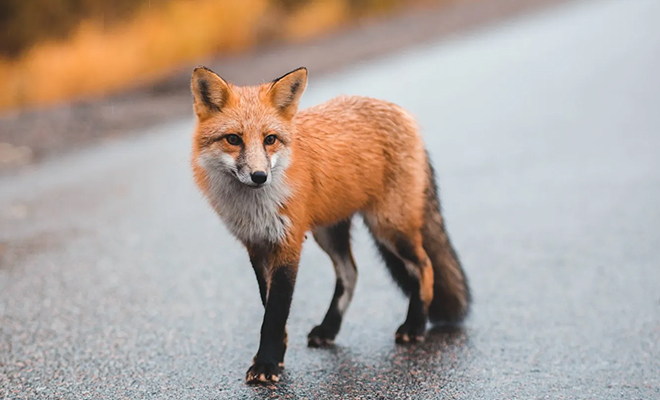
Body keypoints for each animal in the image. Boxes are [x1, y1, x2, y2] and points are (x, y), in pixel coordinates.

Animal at [189, 66, 470, 384]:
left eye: (270, 139)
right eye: (234, 139)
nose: (260, 176)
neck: (255, 207)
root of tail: (401, 112)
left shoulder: (289, 243)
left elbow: (275, 313)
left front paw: (267, 364)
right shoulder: (257, 245)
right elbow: (268, 306)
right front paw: (277, 355)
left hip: (389, 227)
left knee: (424, 266)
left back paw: (415, 325)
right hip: (329, 233)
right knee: (351, 272)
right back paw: (329, 328)